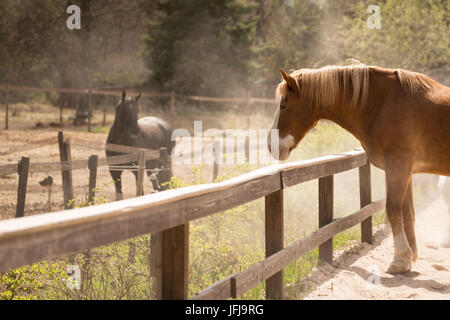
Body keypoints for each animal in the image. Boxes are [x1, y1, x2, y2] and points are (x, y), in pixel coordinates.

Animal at [268, 62, 448, 276]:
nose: (271, 146)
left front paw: (400, 260)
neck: (383, 104)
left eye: (284, 105)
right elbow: (407, 212)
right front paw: (410, 255)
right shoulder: (406, 172)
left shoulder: (398, 167)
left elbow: (393, 210)